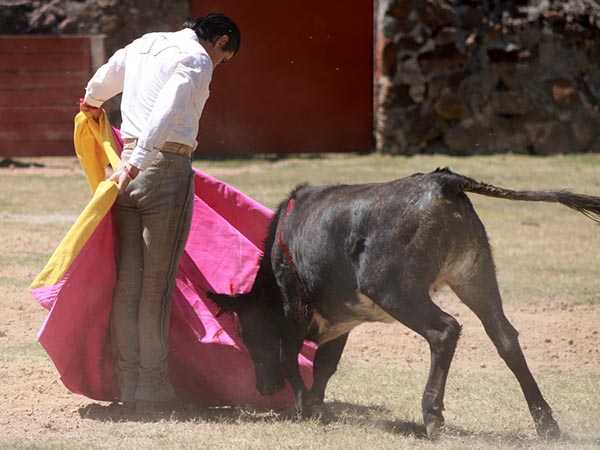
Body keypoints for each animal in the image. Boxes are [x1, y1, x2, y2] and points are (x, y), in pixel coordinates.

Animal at [210, 168, 600, 440]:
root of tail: (444, 182)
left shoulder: (293, 309)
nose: (266, 389)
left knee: (445, 330)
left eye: (248, 333)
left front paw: (305, 407)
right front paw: (318, 407)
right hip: (474, 275)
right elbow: (324, 365)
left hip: (394, 290)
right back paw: (546, 425)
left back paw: (432, 417)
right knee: (504, 336)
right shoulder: (342, 321)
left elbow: (291, 359)